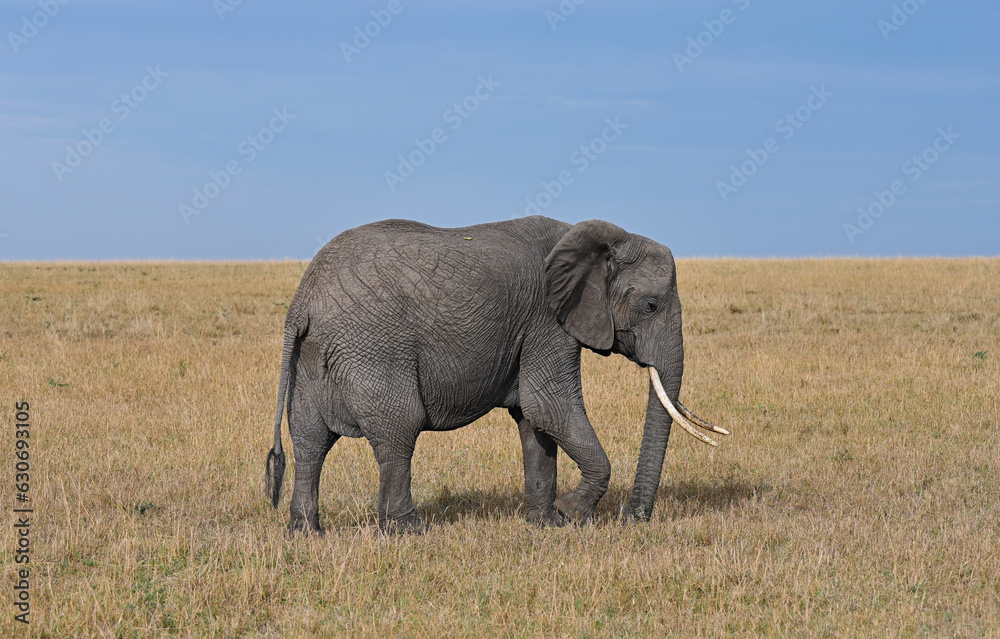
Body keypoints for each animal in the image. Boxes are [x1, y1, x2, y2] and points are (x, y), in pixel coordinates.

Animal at [264, 216, 727, 534]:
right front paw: (572, 513)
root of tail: (302, 300)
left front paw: (546, 524)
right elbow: (549, 407)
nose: (633, 518)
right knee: (398, 431)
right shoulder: (547, 321)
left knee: (309, 440)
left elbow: (534, 421)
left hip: (312, 356)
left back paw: (306, 533)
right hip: (373, 346)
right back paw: (408, 531)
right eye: (650, 306)